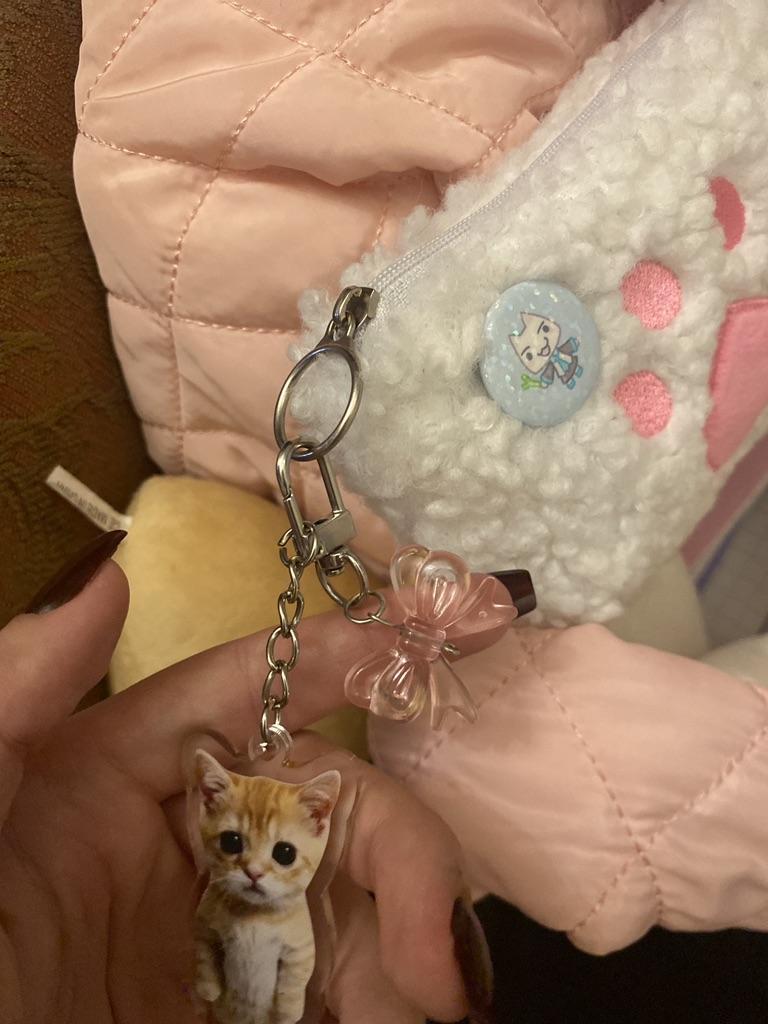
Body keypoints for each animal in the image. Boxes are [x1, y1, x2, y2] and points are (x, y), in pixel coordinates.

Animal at [192, 750, 341, 1024]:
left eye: (285, 853)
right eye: (231, 841)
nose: (254, 872)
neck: (254, 916)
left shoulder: (301, 948)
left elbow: (294, 982)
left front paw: (289, 1012)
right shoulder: (203, 925)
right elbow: (203, 955)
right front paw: (208, 989)